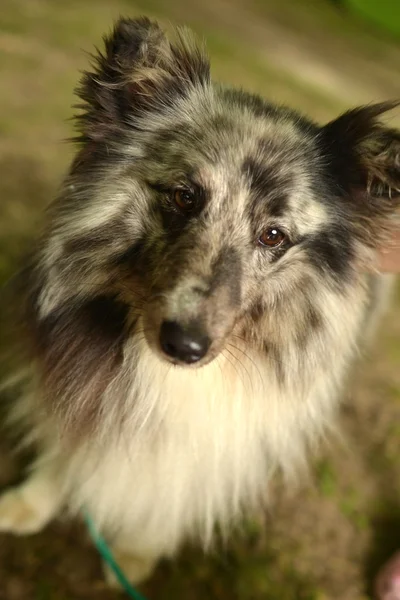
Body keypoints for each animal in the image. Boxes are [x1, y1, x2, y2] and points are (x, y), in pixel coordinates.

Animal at [0, 17, 398, 584]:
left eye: (273, 235)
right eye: (184, 197)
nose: (184, 346)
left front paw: (137, 553)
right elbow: (68, 448)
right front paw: (33, 502)